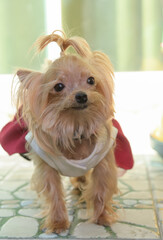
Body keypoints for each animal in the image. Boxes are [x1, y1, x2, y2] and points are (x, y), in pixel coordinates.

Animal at [15, 31, 119, 233]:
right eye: (58, 86)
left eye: (91, 80)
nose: (81, 95)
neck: (75, 126)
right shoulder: (46, 168)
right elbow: (54, 193)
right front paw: (58, 222)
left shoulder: (103, 162)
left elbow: (100, 189)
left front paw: (101, 217)